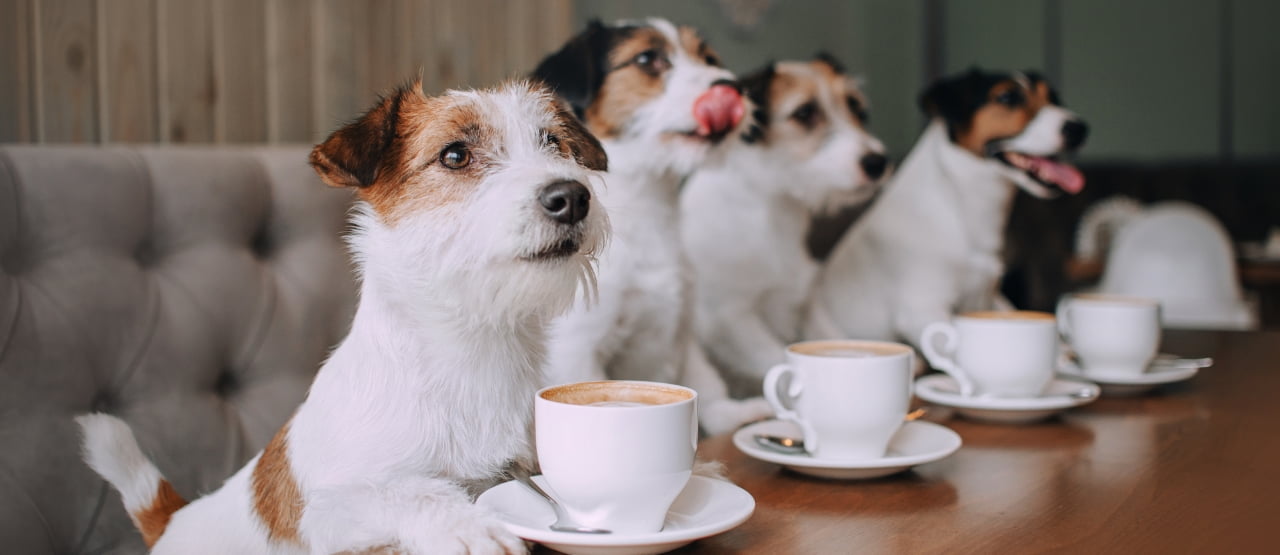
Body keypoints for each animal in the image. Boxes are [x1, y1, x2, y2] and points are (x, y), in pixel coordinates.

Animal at [74, 80, 609, 552]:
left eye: (553, 142)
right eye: (455, 155)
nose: (572, 198)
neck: (477, 346)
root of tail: (175, 521)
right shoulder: (324, 513)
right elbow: (407, 490)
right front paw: (468, 526)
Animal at [527, 16, 768, 434]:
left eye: (708, 57)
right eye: (647, 58)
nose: (733, 87)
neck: (647, 212)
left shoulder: (682, 332)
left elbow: (705, 382)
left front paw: (730, 415)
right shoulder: (577, 348)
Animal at [680, 54, 890, 396]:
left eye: (857, 108)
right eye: (804, 112)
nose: (878, 162)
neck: (773, 210)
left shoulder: (804, 302)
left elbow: (833, 337)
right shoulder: (728, 319)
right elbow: (777, 358)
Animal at [803, 67, 1085, 347]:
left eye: (1053, 98)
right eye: (1008, 97)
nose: (1079, 128)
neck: (961, 204)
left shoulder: (990, 298)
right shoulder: (922, 311)